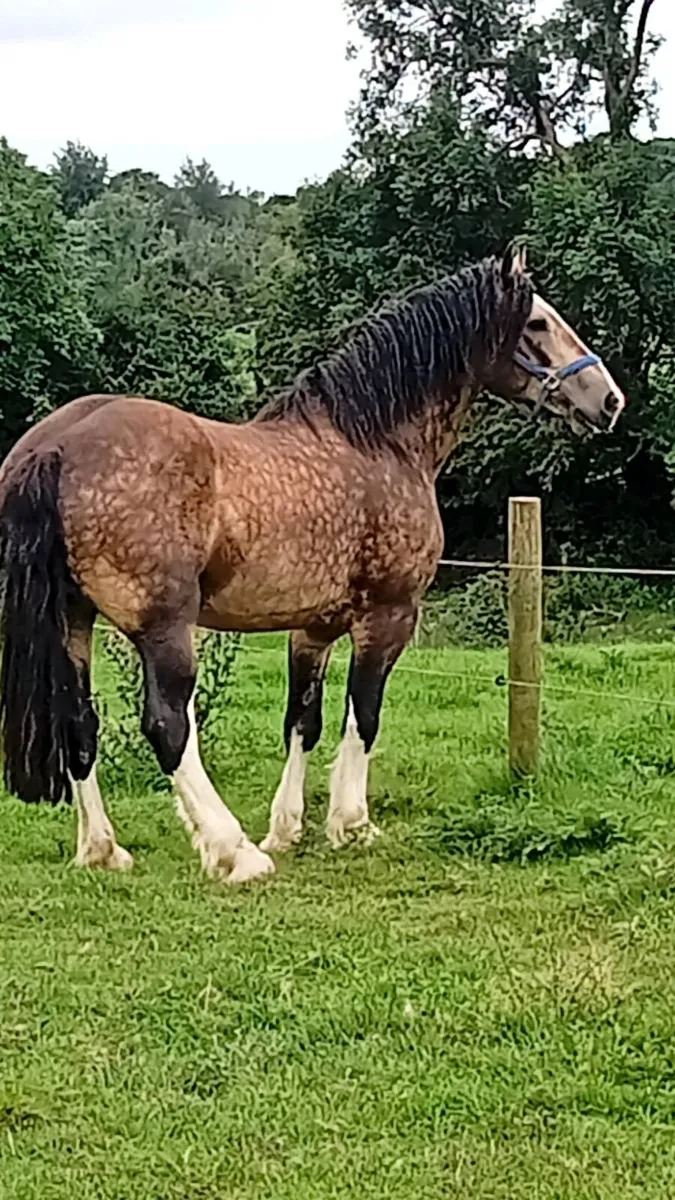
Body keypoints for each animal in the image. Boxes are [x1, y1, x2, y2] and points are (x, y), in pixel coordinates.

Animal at [0, 250, 625, 884]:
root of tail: (53, 447)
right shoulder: (388, 615)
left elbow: (303, 720)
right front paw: (351, 824)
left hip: (74, 620)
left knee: (80, 723)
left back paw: (103, 849)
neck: (376, 442)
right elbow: (363, 715)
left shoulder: (314, 627)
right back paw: (232, 850)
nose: (609, 400)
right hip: (163, 628)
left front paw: (288, 828)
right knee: (168, 726)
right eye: (537, 323)